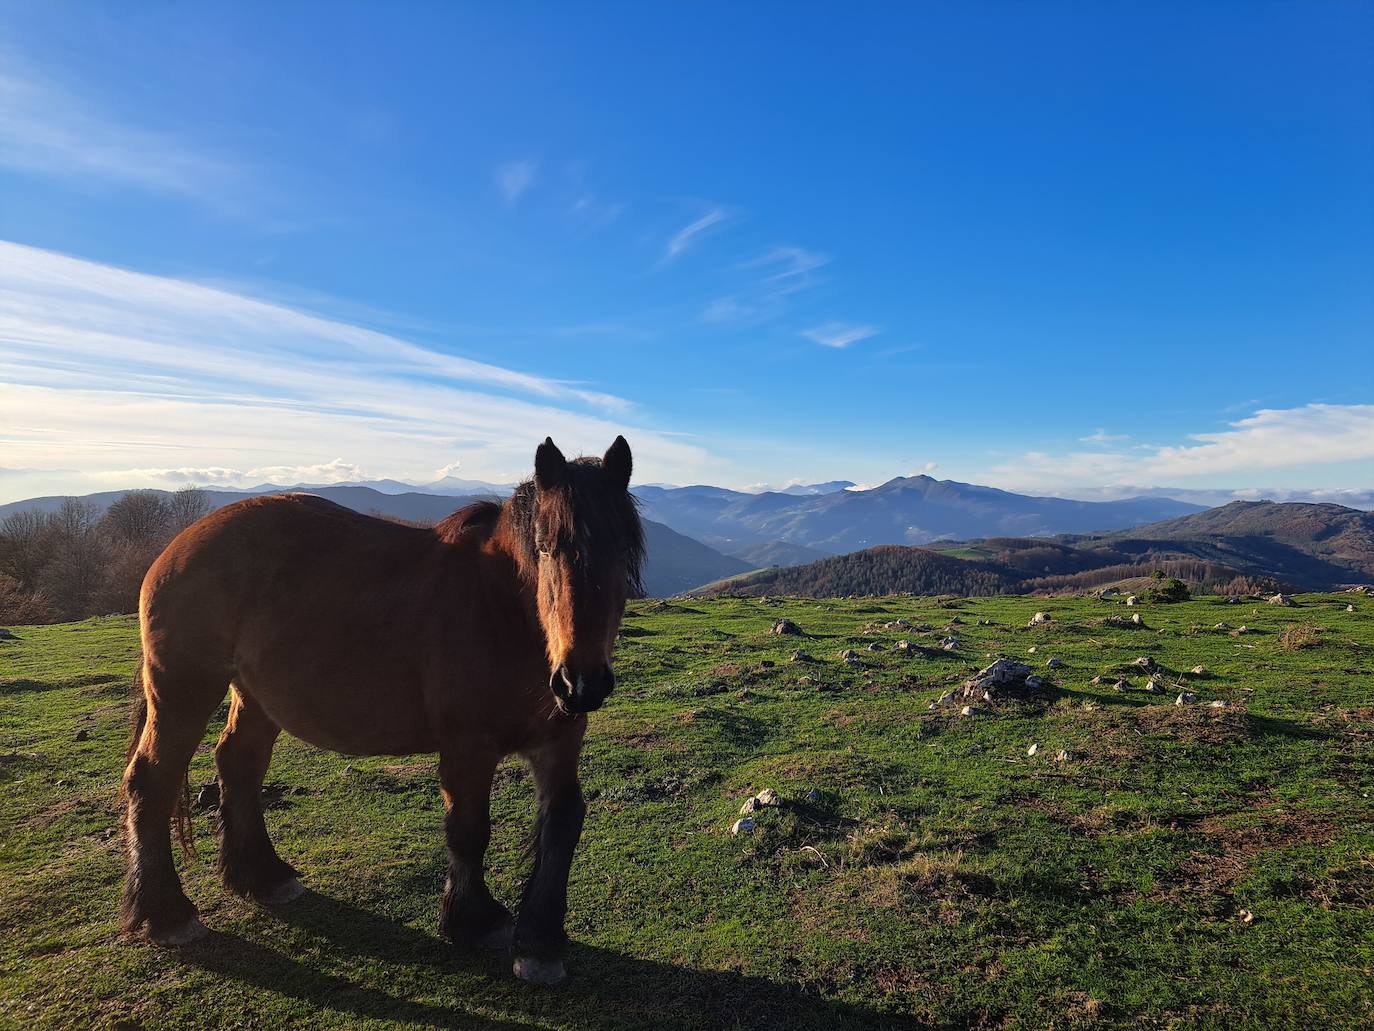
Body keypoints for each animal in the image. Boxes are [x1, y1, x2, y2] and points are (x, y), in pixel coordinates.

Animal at [119, 434, 643, 984]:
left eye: (623, 552)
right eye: (545, 548)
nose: (580, 682)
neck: (503, 611)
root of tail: (177, 545)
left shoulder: (560, 740)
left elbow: (562, 824)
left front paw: (540, 943)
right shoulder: (468, 747)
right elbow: (469, 829)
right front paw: (474, 921)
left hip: (257, 696)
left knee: (239, 764)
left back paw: (262, 876)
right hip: (183, 691)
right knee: (151, 780)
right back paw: (166, 914)